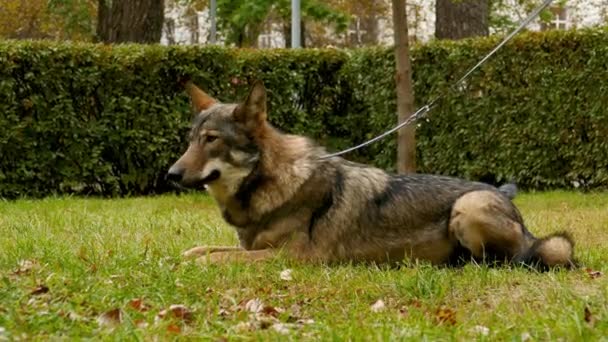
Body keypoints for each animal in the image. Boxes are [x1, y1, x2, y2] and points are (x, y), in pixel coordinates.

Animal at [167, 79, 576, 268]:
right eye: (189, 141)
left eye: (211, 140)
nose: (171, 174)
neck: (268, 181)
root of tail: (506, 196)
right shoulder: (253, 248)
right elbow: (199, 249)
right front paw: (179, 258)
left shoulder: (291, 258)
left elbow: (213, 258)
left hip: (468, 207)